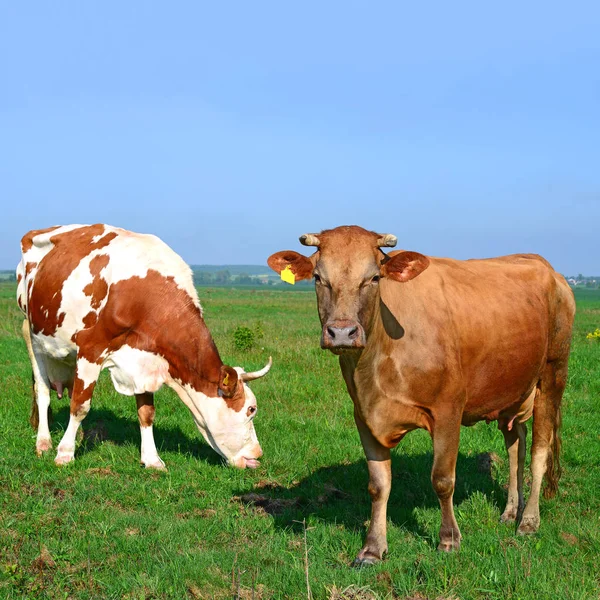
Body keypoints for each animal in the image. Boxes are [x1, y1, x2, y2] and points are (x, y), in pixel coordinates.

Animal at [18, 224, 272, 468]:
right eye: (251, 409)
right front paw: (65, 454)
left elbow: (146, 413)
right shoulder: (91, 349)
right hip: (32, 334)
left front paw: (152, 459)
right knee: (42, 391)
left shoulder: (148, 360)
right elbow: (80, 406)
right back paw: (44, 442)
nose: (258, 454)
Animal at [268, 227, 576, 564]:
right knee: (515, 447)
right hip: (511, 389)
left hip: (552, 376)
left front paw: (449, 539)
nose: (342, 332)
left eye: (373, 278)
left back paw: (529, 521)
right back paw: (510, 512)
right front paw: (372, 547)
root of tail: (548, 268)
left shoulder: (448, 410)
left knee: (538, 452)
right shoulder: (364, 416)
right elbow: (378, 485)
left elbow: (442, 479)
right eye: (318, 278)